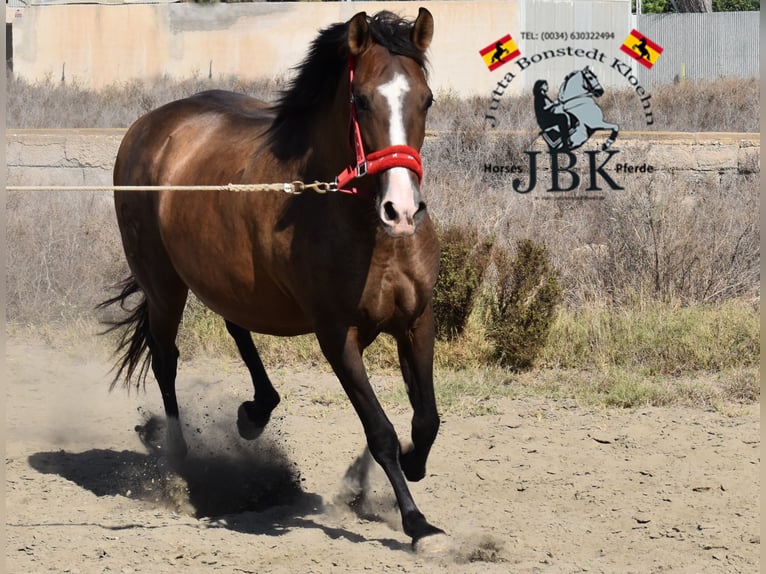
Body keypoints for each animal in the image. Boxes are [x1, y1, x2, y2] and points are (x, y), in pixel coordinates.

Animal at [103, 7, 450, 548]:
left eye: (427, 99)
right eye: (361, 100)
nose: (401, 210)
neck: (366, 228)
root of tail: (147, 126)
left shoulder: (417, 320)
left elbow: (427, 419)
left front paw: (408, 470)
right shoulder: (337, 336)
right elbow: (381, 432)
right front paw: (416, 522)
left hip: (228, 279)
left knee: (234, 325)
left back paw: (255, 411)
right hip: (164, 287)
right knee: (165, 361)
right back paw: (182, 468)